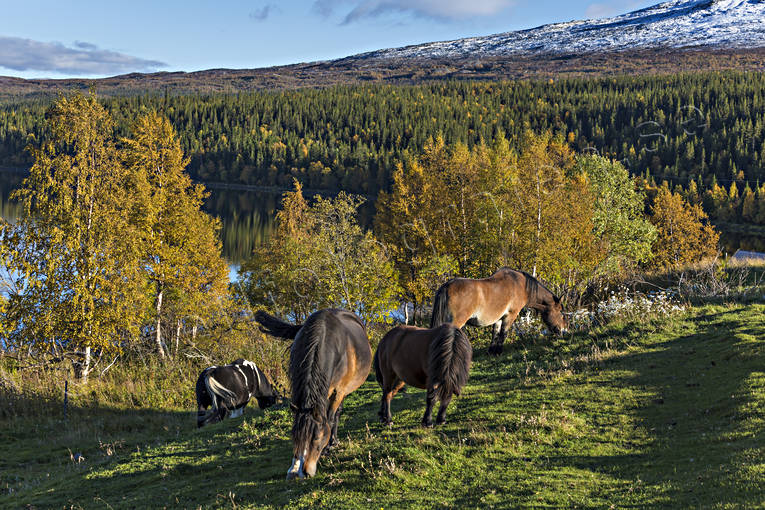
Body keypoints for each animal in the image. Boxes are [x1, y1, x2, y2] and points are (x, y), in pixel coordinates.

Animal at [255, 308, 372, 480]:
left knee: (336, 414)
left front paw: (327, 448)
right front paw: (293, 467)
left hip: (342, 391)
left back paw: (334, 442)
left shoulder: (337, 391)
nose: (306, 471)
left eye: (317, 438)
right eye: (295, 436)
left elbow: (330, 420)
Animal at [430, 268, 568, 356]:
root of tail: (446, 286)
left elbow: (495, 333)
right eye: (561, 312)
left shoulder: (499, 318)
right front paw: (499, 351)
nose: (563, 331)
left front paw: (492, 351)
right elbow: (504, 333)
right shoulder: (510, 315)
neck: (522, 286)